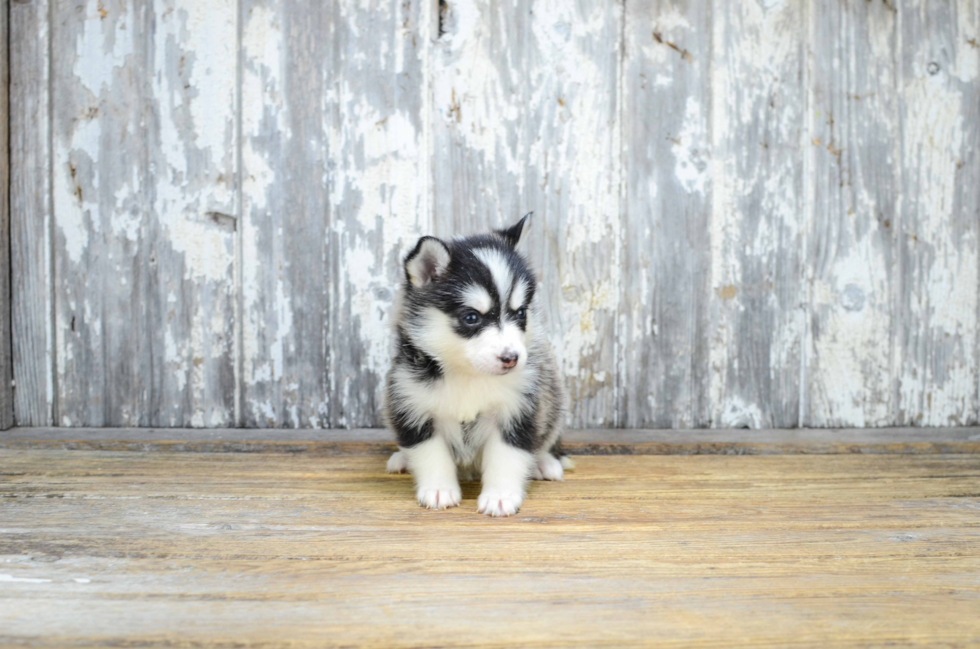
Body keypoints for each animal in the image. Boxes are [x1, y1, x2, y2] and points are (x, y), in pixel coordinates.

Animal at [380, 214, 568, 516]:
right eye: (471, 318)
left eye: (520, 313)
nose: (511, 358)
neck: (467, 374)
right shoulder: (412, 406)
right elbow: (431, 453)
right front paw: (438, 490)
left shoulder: (519, 410)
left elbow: (507, 456)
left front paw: (500, 496)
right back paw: (401, 459)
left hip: (554, 403)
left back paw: (544, 462)